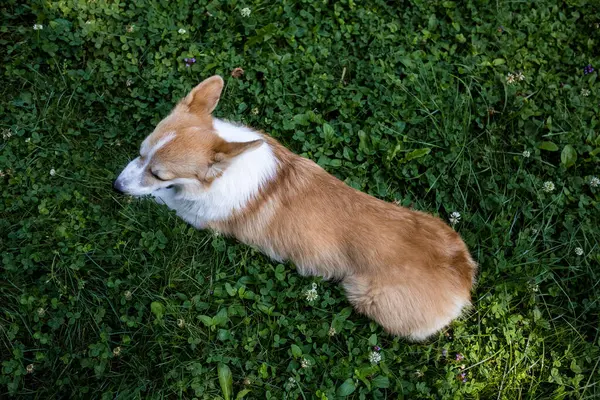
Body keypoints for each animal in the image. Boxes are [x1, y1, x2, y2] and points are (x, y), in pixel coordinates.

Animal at [113, 75, 478, 340]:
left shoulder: (195, 215)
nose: (115, 186)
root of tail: (462, 271)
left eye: (158, 173)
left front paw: (131, 196)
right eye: (140, 152)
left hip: (363, 294)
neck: (221, 175)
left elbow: (160, 198)